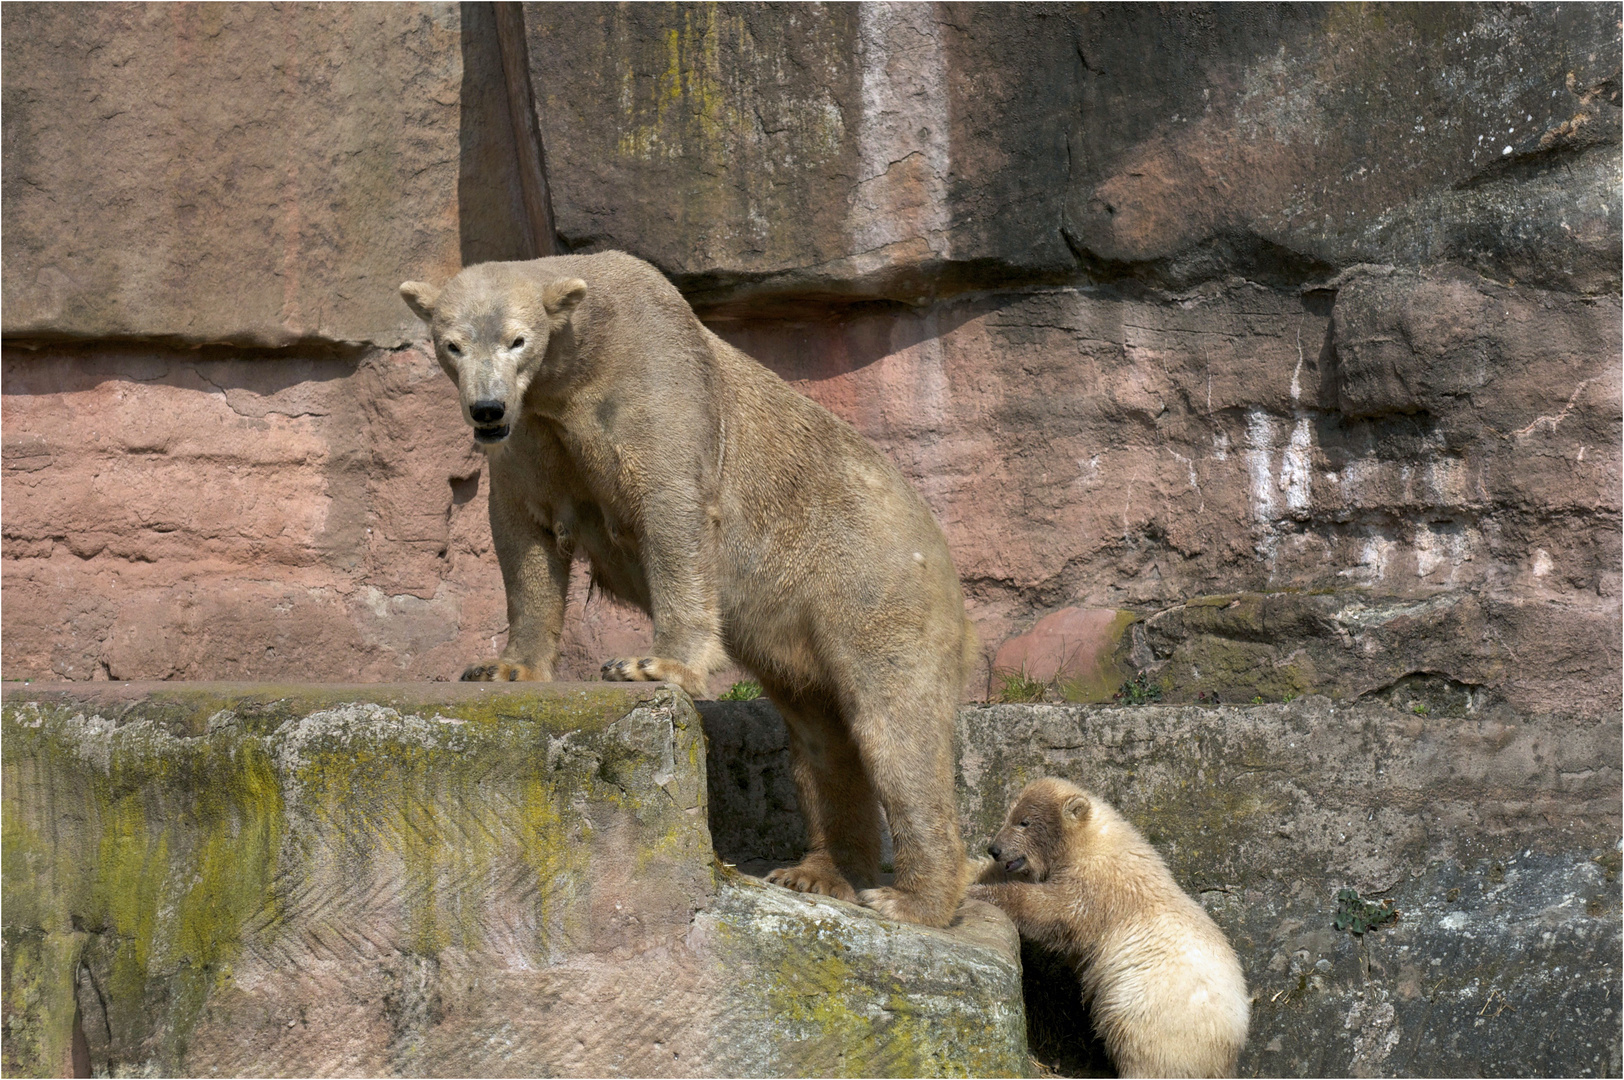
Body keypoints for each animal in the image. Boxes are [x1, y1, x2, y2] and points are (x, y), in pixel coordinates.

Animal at [399, 253, 967, 928]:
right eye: (451, 344)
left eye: (519, 340)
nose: (486, 409)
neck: (576, 365)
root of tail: (938, 544)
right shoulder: (532, 431)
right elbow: (524, 535)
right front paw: (503, 668)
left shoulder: (655, 385)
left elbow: (673, 516)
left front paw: (650, 665)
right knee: (821, 734)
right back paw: (816, 872)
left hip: (868, 579)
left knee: (895, 724)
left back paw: (910, 899)